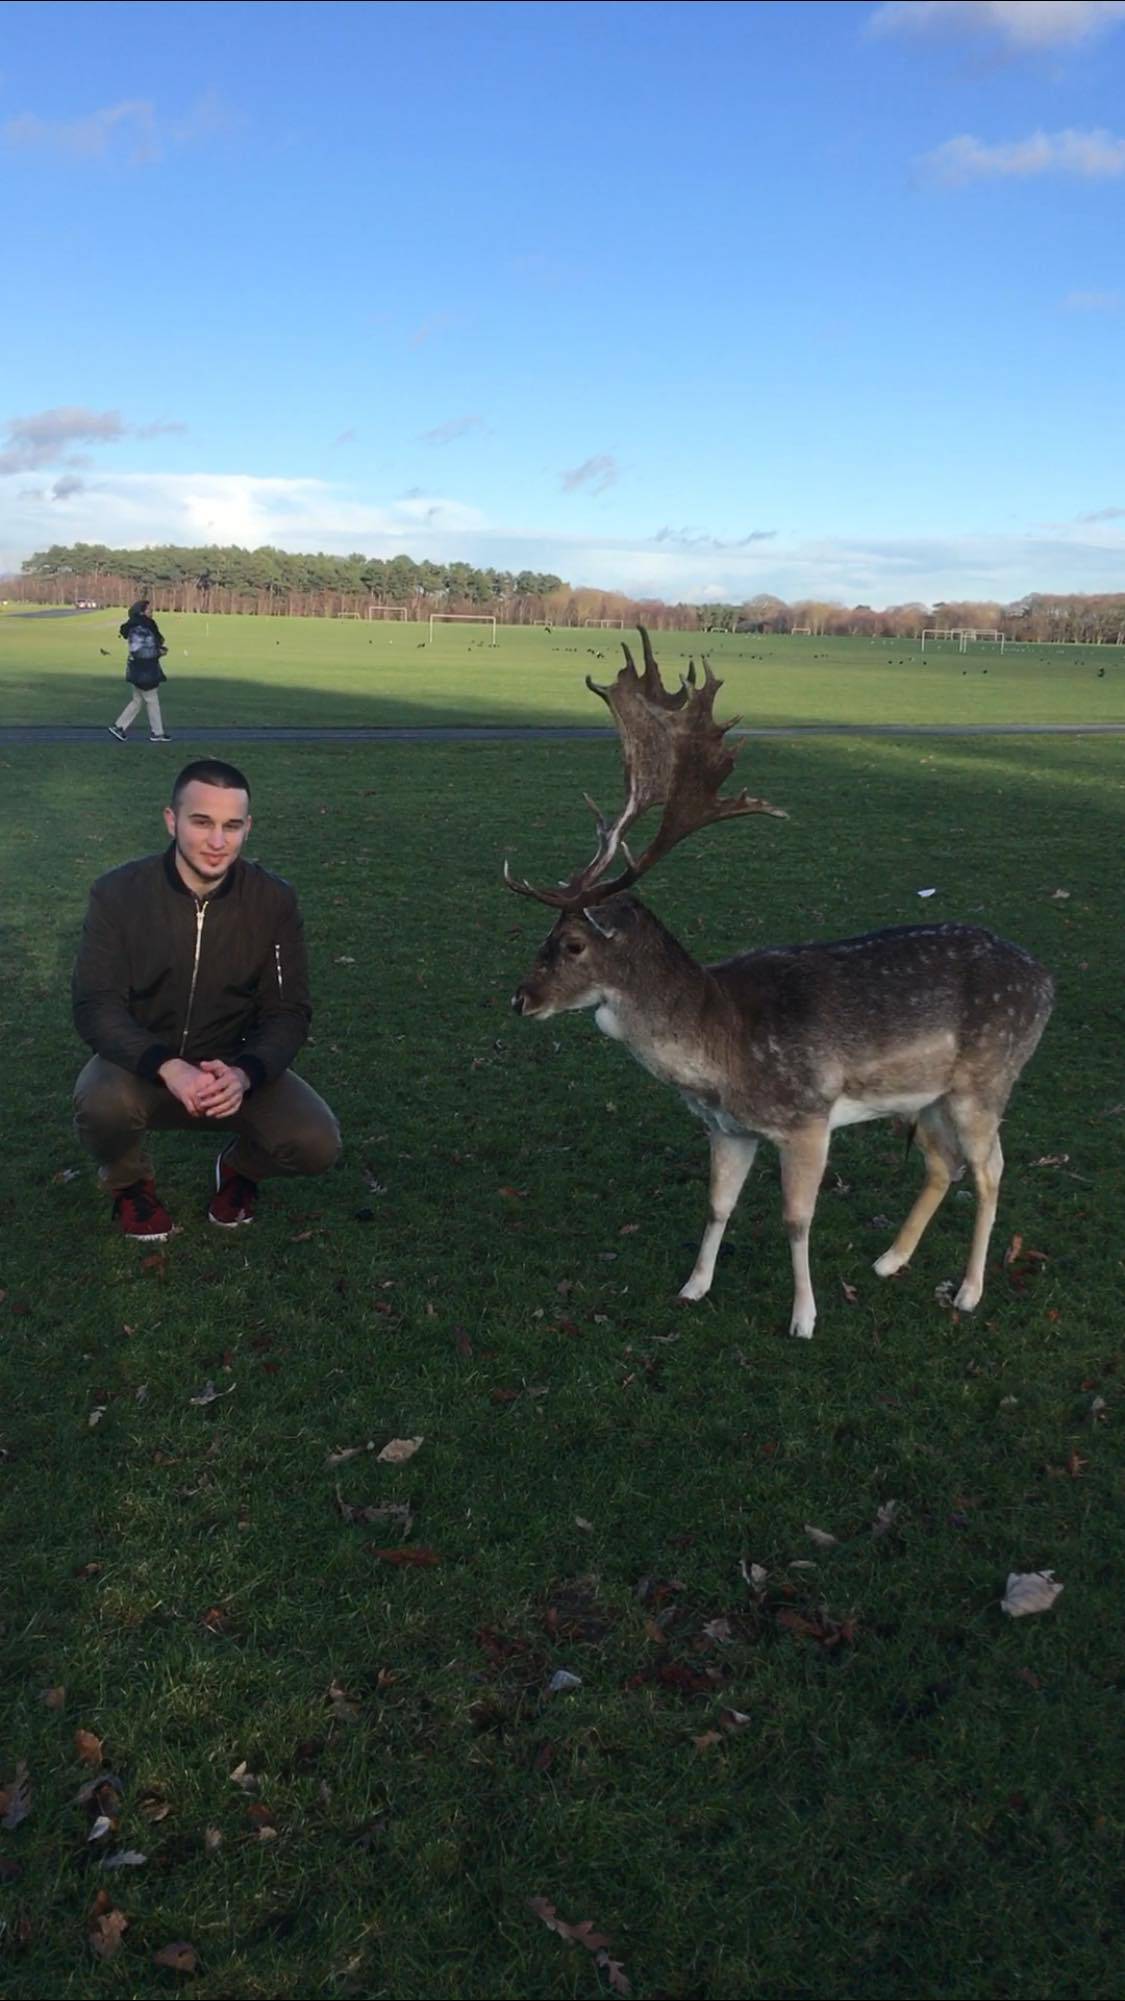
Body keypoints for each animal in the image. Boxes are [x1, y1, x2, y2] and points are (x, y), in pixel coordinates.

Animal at [506, 624, 1048, 1344]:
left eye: (571, 943)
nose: (520, 998)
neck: (720, 1054)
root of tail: (1046, 981)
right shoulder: (728, 1128)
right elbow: (716, 1206)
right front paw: (694, 1286)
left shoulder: (808, 1117)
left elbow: (796, 1220)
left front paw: (804, 1316)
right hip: (930, 1093)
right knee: (944, 1162)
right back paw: (888, 1260)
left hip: (987, 1079)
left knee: (989, 1171)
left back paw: (967, 1290)